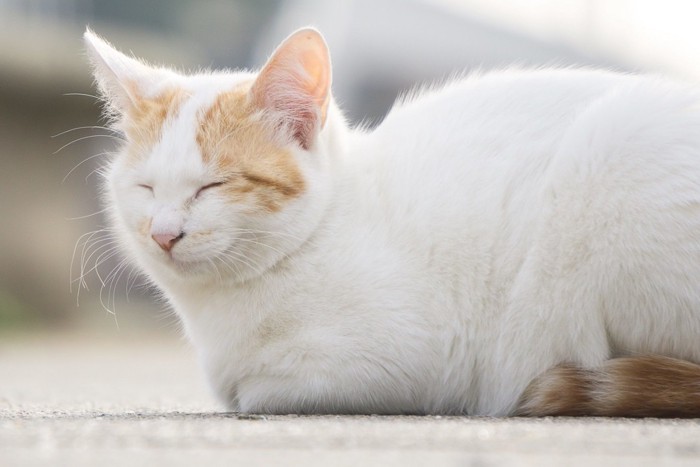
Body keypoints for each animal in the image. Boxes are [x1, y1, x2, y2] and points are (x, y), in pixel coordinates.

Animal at [83, 27, 700, 418]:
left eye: (213, 186)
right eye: (146, 189)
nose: (164, 233)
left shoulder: (417, 359)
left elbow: (258, 391)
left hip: (612, 151)